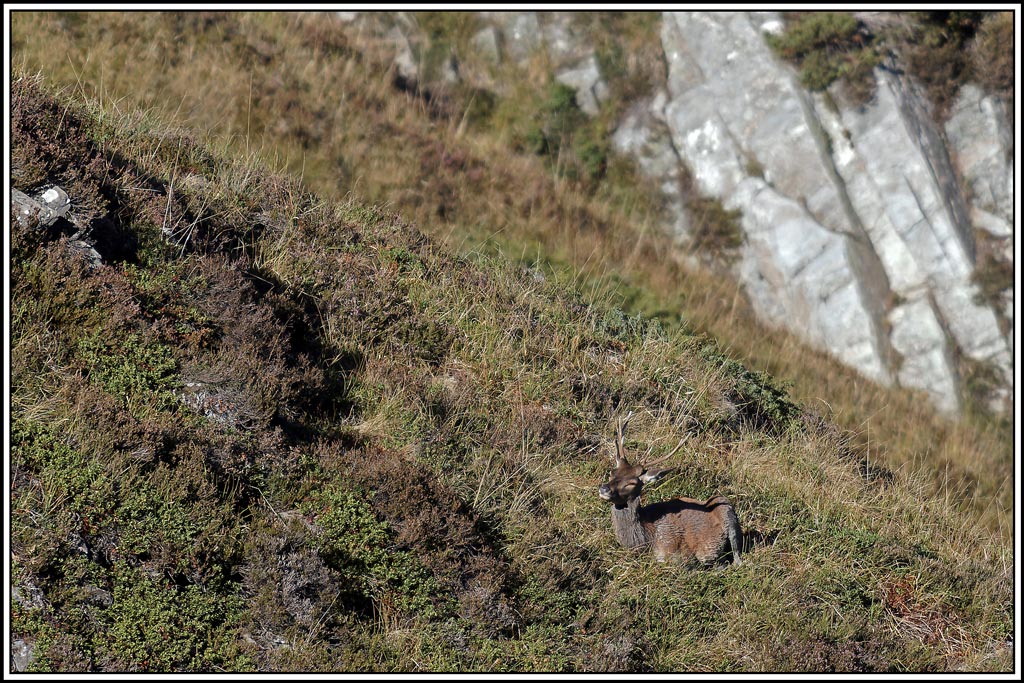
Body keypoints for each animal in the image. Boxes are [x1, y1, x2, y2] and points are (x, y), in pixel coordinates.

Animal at [597, 413, 743, 565]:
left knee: (737, 560)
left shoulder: (678, 554)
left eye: (631, 483)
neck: (645, 541)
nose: (604, 488)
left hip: (726, 508)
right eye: (612, 472)